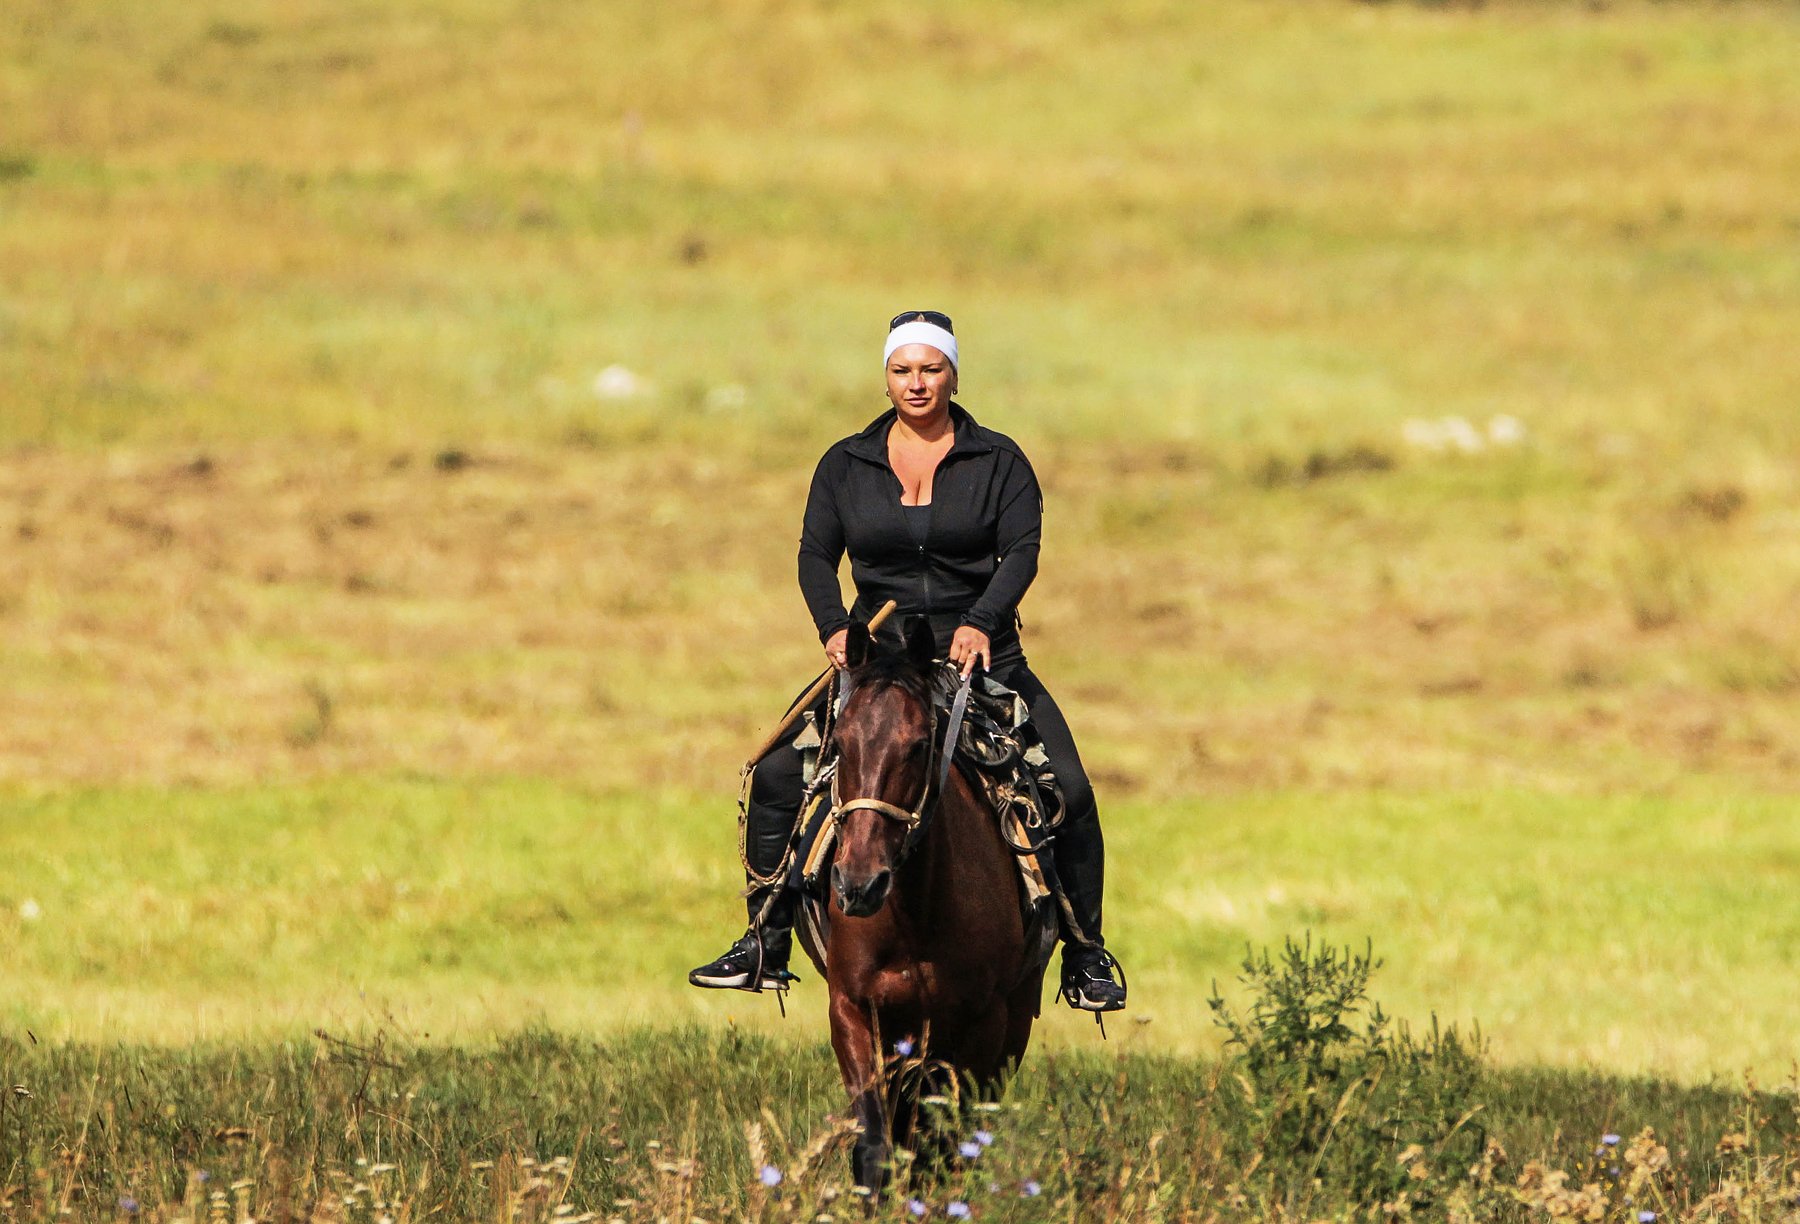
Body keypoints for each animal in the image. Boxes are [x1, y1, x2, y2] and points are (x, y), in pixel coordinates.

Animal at [802, 622, 1051, 1188]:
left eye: (918, 746)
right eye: (840, 744)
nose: (859, 884)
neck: (914, 917)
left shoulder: (983, 1025)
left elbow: (944, 1147)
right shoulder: (852, 1011)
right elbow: (876, 1147)